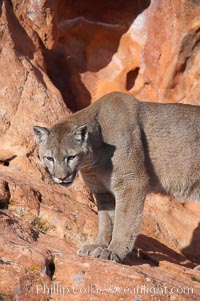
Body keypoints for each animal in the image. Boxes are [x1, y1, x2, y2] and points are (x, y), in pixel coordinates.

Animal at [33, 91, 200, 262]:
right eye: (49, 158)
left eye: (71, 157)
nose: (61, 177)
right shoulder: (102, 191)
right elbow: (106, 220)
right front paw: (98, 245)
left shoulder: (130, 183)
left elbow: (124, 221)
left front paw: (114, 250)